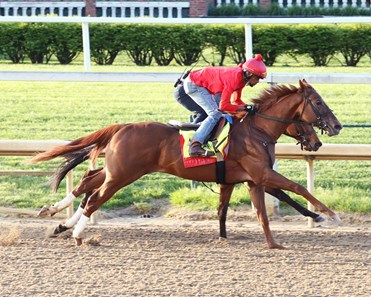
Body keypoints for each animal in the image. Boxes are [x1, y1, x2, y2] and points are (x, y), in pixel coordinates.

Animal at [32, 79, 342, 247]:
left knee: (87, 183)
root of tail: (123, 126)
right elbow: (297, 188)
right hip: (122, 175)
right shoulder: (260, 174)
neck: (257, 131)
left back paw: (57, 218)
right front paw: (329, 215)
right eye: (317, 103)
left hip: (116, 170)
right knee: (94, 197)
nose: (333, 129)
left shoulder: (244, 178)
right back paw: (77, 233)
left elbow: (232, 209)